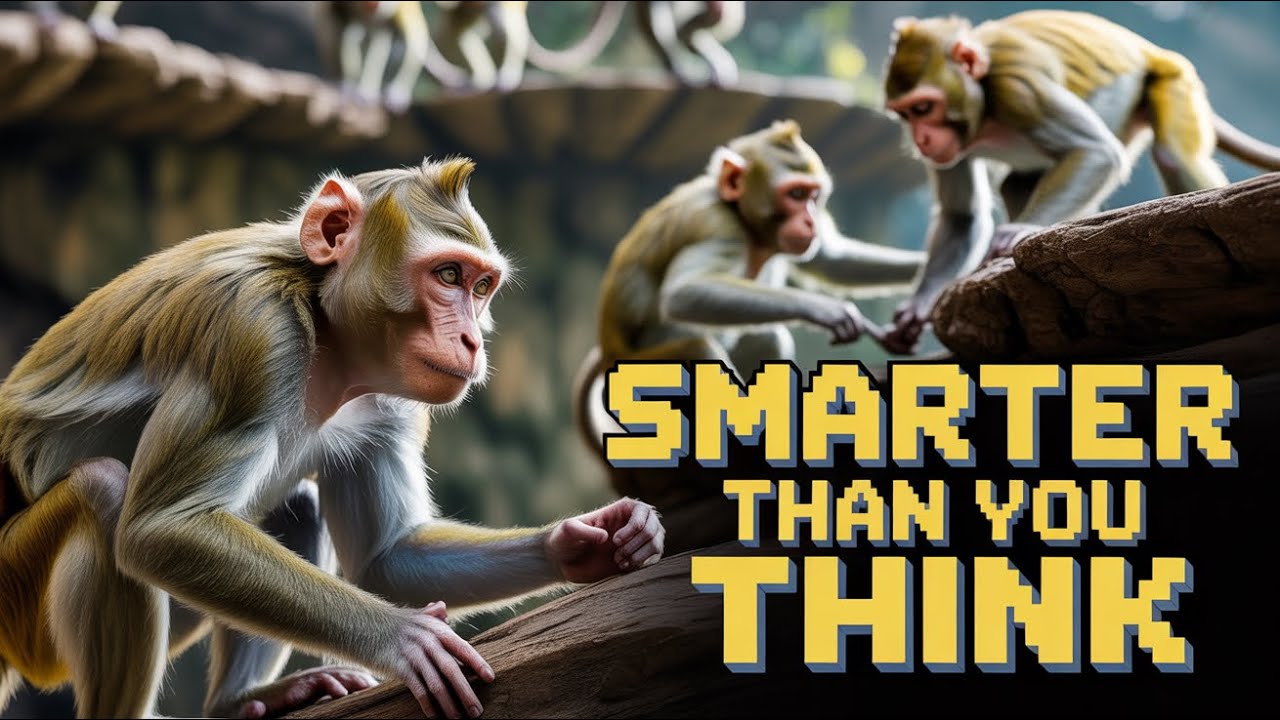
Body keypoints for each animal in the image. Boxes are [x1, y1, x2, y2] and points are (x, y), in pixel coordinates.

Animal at [0, 158, 665, 719]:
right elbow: (161, 529)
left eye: (481, 288)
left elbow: (385, 559)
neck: (324, 327)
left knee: (295, 507)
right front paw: (402, 638)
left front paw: (588, 540)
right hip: (21, 605)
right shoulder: (250, 329)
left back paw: (240, 701)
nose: (474, 341)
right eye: (448, 275)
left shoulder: (389, 402)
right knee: (103, 493)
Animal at [573, 120, 924, 506]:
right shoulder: (718, 227)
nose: (811, 222)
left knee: (765, 337)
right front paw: (827, 310)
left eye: (813, 197)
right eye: (796, 194)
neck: (744, 220)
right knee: (697, 350)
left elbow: (829, 259)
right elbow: (684, 293)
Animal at [880, 10, 1280, 355]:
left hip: (1169, 83)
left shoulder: (1018, 90)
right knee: (1015, 182)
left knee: (1171, 155)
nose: (921, 141)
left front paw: (1018, 231)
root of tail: (1151, 50)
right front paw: (916, 310)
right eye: (905, 115)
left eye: (924, 108)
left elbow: (1095, 152)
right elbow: (962, 215)